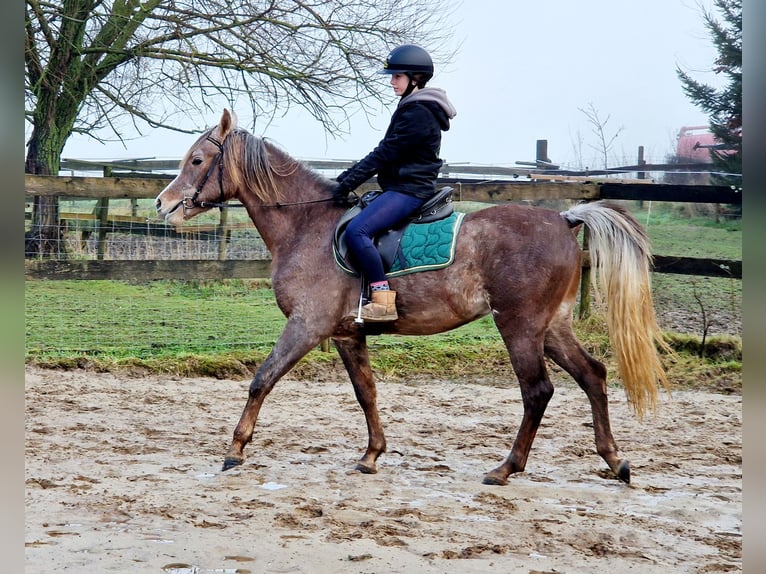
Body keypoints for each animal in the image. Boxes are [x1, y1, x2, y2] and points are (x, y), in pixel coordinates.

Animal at [153, 109, 668, 486]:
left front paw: (235, 450)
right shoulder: (346, 334)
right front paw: (371, 455)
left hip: (519, 325)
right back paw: (614, 460)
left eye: (197, 160)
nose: (162, 204)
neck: (306, 227)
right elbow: (366, 392)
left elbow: (261, 380)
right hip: (552, 326)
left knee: (537, 391)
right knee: (593, 375)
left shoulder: (307, 325)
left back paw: (506, 468)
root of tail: (563, 219)